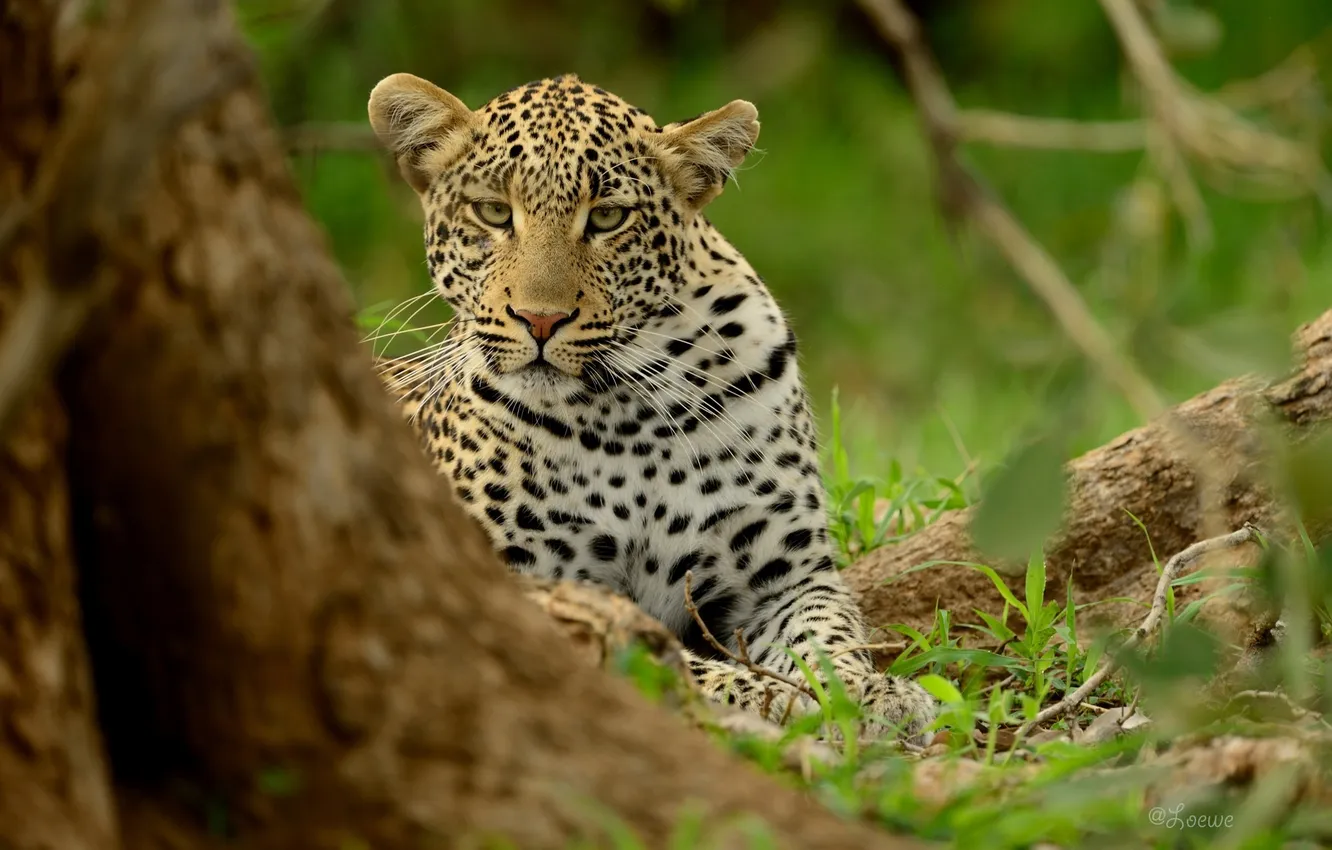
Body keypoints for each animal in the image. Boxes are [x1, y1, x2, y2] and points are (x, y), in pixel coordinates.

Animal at [365, 72, 935, 743]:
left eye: (608, 218)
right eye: (494, 212)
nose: (540, 319)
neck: (623, 417)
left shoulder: (788, 576)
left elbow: (830, 637)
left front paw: (873, 697)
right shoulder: (514, 584)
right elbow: (676, 664)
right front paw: (780, 703)